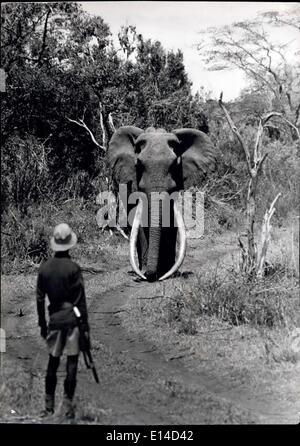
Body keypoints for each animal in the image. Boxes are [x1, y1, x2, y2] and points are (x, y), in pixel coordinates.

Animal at [107, 127, 216, 282]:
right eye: (139, 164)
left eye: (174, 165)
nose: (150, 276)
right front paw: (146, 272)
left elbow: (171, 222)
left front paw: (167, 272)